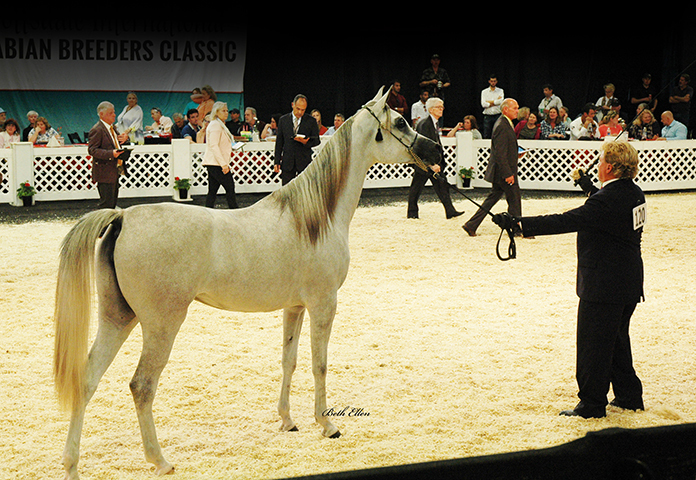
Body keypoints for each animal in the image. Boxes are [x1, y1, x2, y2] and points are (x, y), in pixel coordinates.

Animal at [53, 87, 441, 479]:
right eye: (402, 122)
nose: (435, 151)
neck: (315, 218)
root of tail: (122, 217)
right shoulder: (323, 305)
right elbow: (319, 364)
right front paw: (327, 424)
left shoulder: (295, 307)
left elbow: (289, 360)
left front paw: (287, 420)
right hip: (161, 325)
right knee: (141, 386)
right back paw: (159, 460)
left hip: (117, 318)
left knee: (86, 380)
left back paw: (71, 465)